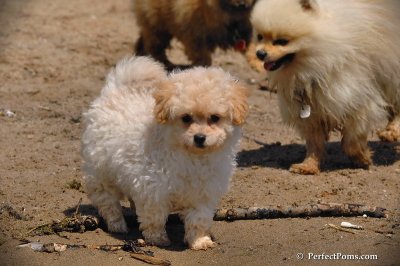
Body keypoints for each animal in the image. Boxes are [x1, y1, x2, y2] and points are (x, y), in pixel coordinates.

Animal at [81, 56, 248, 249]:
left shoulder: (204, 194)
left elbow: (199, 219)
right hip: (100, 172)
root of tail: (116, 91)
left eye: (214, 118)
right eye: (186, 118)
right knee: (107, 201)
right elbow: (155, 217)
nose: (199, 137)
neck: (192, 155)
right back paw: (117, 224)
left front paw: (199, 241)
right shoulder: (154, 190)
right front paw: (157, 239)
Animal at [250, 0, 400, 175]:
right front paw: (308, 165)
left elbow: (351, 141)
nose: (260, 53)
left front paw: (362, 159)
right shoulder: (310, 112)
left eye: (282, 41)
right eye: (260, 36)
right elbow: (314, 144)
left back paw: (392, 131)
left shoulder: (356, 102)